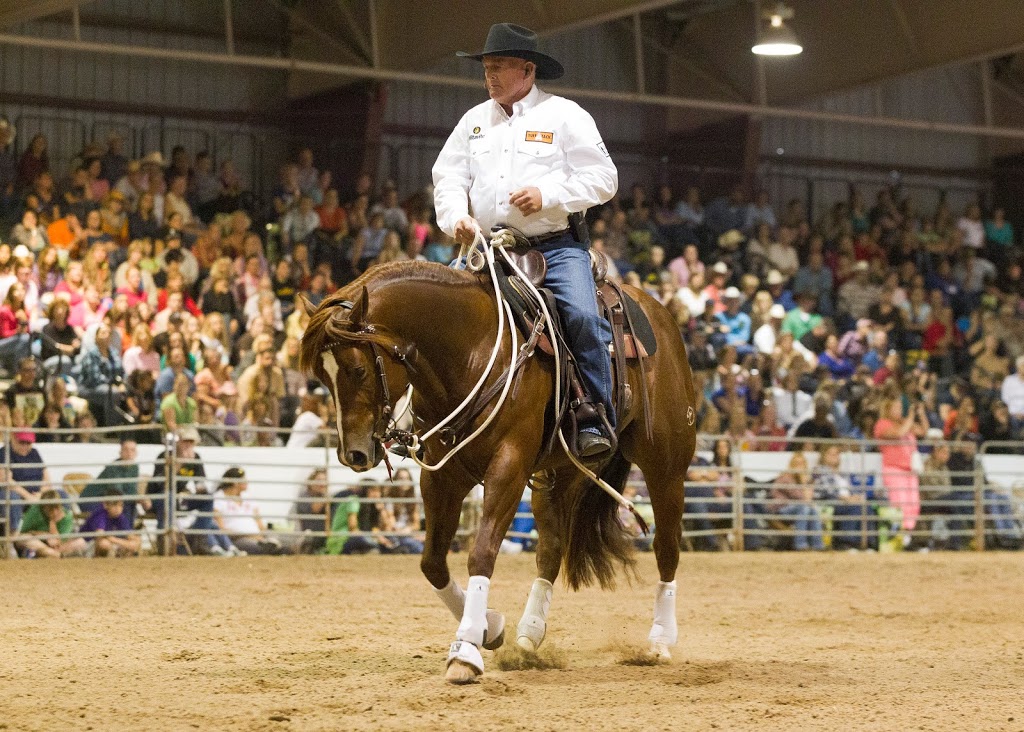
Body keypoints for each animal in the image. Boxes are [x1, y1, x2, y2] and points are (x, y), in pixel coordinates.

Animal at [296, 261, 696, 683]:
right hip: (562, 473)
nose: (353, 453)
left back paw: (659, 640)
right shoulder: (442, 477)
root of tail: (657, 310)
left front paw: (466, 649)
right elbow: (432, 562)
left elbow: (482, 552)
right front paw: (490, 627)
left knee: (666, 546)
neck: (471, 350)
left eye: (357, 369)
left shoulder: (509, 467)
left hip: (667, 467)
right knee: (551, 549)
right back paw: (529, 634)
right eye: (321, 377)